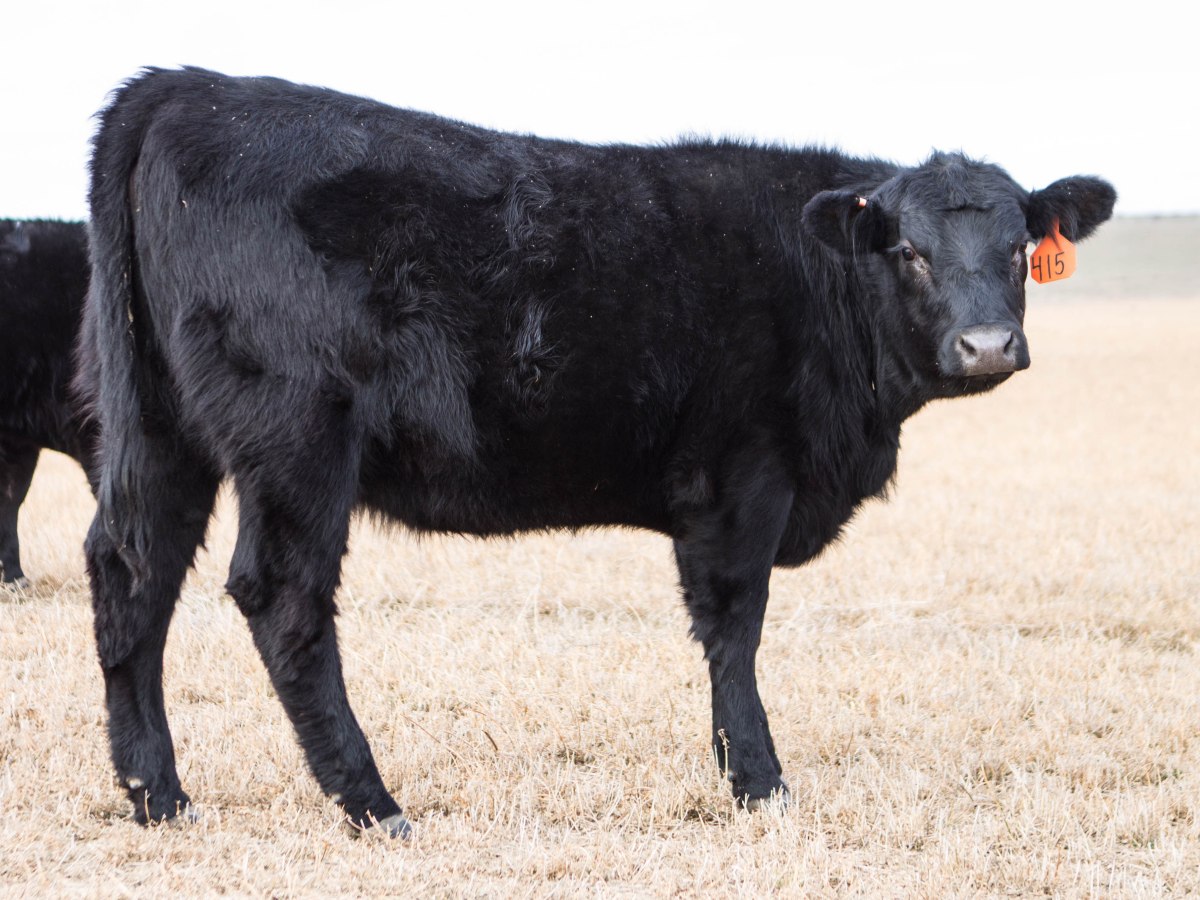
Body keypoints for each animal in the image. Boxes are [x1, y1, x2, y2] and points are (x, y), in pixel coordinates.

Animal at [80, 66, 1116, 838]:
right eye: (909, 251)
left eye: (1020, 247)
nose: (986, 345)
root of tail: (184, 88)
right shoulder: (746, 479)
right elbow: (734, 630)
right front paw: (759, 782)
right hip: (296, 439)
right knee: (282, 599)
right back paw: (372, 804)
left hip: (163, 432)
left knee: (132, 574)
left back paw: (158, 797)